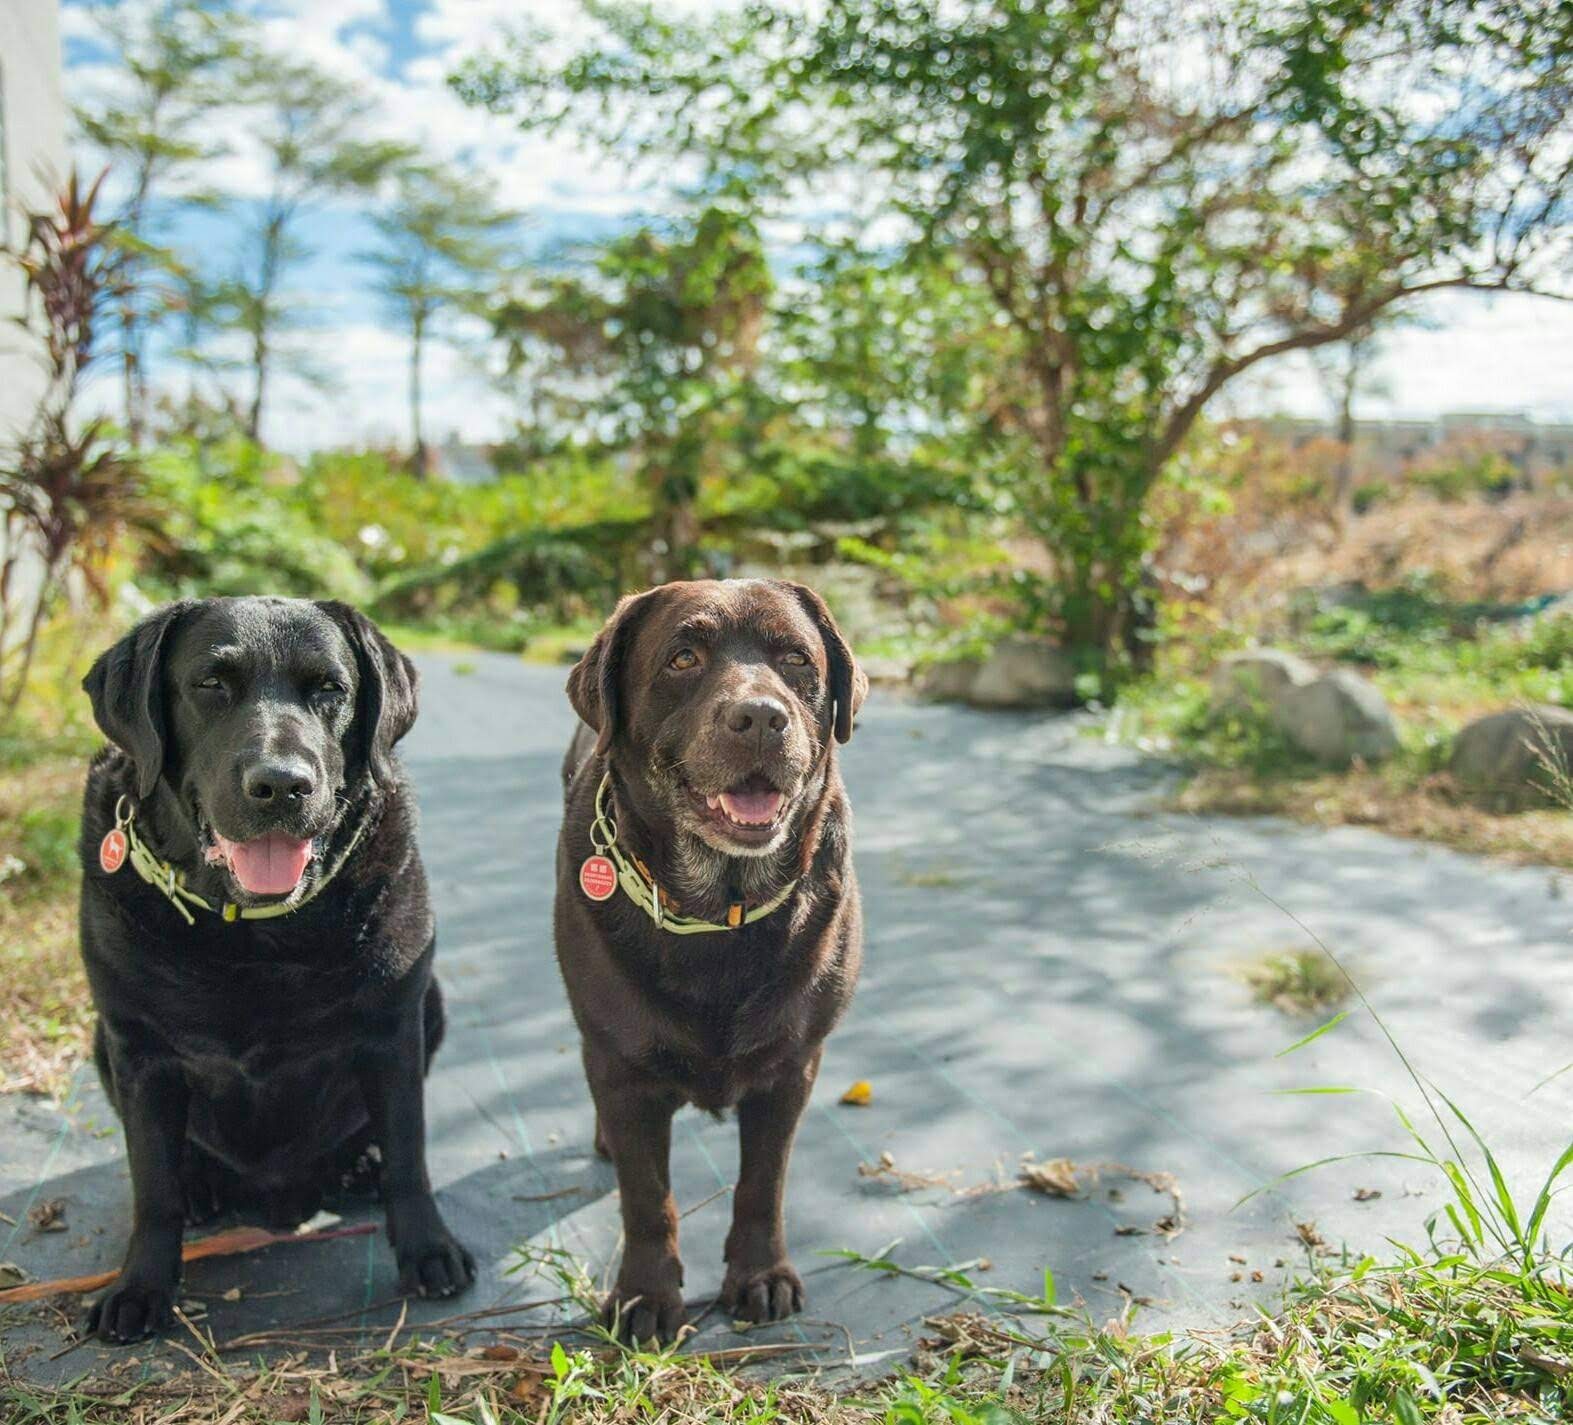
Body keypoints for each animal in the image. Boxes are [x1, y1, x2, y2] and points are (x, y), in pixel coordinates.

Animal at [79, 594, 471, 1340]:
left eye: (330, 690)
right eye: (209, 684)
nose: (282, 785)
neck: (255, 935)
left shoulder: (393, 1025)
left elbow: (409, 1152)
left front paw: (428, 1247)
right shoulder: (138, 1047)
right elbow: (153, 1186)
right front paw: (142, 1286)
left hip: (431, 1004)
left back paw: (360, 1167)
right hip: (100, 1042)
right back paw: (203, 1186)